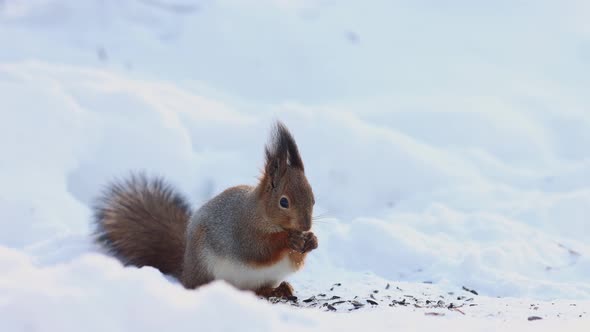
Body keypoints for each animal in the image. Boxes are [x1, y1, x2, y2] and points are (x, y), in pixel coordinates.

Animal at [93, 122, 320, 298]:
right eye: (284, 202)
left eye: (313, 198)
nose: (305, 225)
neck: (262, 213)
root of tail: (185, 270)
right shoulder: (242, 230)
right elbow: (259, 249)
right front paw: (288, 239)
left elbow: (295, 259)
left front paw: (311, 240)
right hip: (206, 267)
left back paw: (281, 288)